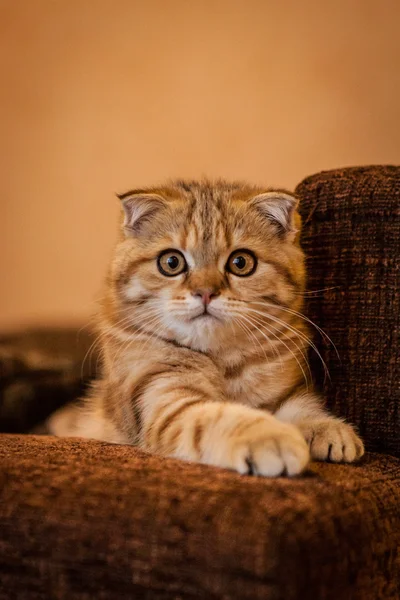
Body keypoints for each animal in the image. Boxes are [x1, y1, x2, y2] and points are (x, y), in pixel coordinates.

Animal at [48, 179, 364, 478]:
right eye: (171, 262)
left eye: (241, 262)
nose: (206, 292)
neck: (221, 359)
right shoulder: (160, 393)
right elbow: (214, 417)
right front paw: (271, 437)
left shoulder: (284, 387)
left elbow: (299, 404)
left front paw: (327, 427)